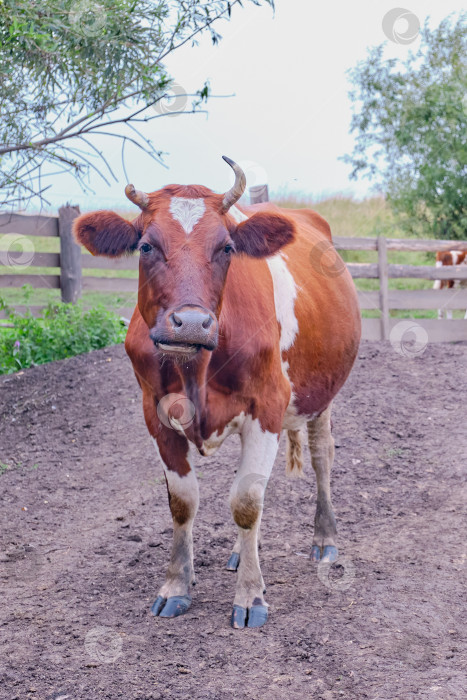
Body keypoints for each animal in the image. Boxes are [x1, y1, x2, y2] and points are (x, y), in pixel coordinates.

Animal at [74, 157, 362, 628]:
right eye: (146, 246)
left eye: (227, 248)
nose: (191, 323)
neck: (197, 367)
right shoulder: (155, 414)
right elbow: (184, 503)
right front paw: (176, 586)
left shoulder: (267, 407)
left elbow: (245, 502)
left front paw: (250, 595)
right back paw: (241, 553)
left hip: (320, 395)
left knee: (321, 458)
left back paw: (324, 538)